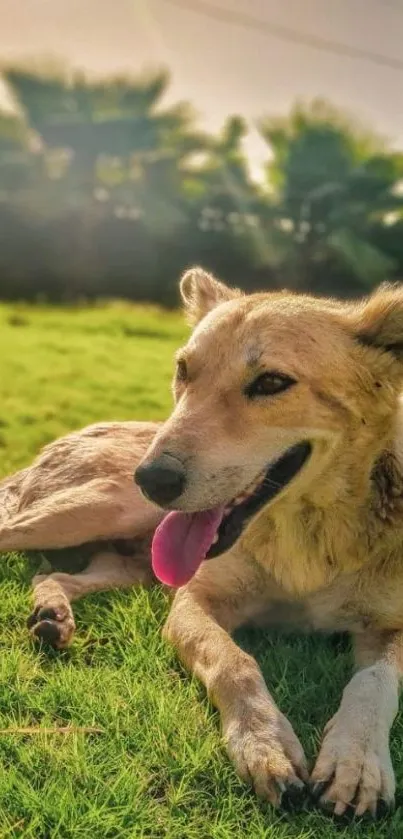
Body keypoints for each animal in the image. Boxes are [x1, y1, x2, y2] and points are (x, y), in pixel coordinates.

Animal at [2, 270, 403, 820]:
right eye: (183, 371)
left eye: (272, 383)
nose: (152, 479)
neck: (307, 540)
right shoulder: (193, 602)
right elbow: (235, 663)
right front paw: (264, 746)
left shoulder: (391, 627)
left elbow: (374, 683)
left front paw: (357, 763)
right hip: (98, 510)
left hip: (135, 563)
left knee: (52, 573)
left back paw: (52, 615)